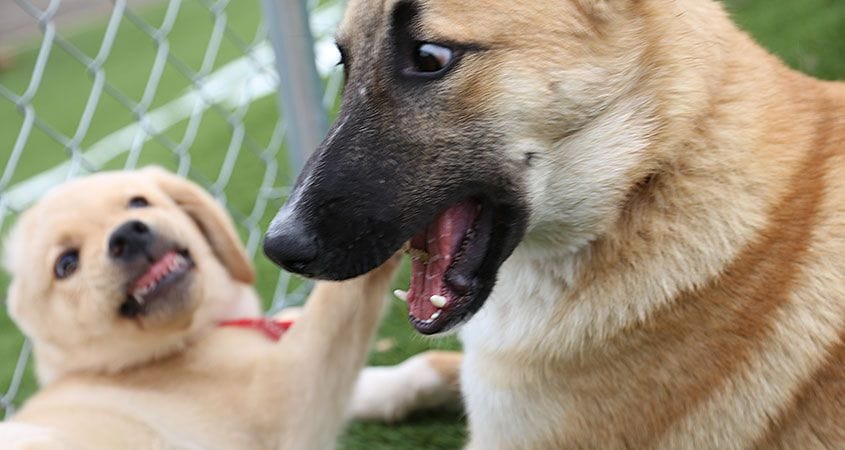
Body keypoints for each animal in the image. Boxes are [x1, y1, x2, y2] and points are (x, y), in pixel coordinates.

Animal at [0, 167, 398, 448]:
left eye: (138, 203)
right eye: (66, 264)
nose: (127, 234)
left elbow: (377, 381)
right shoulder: (288, 390)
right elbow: (339, 299)